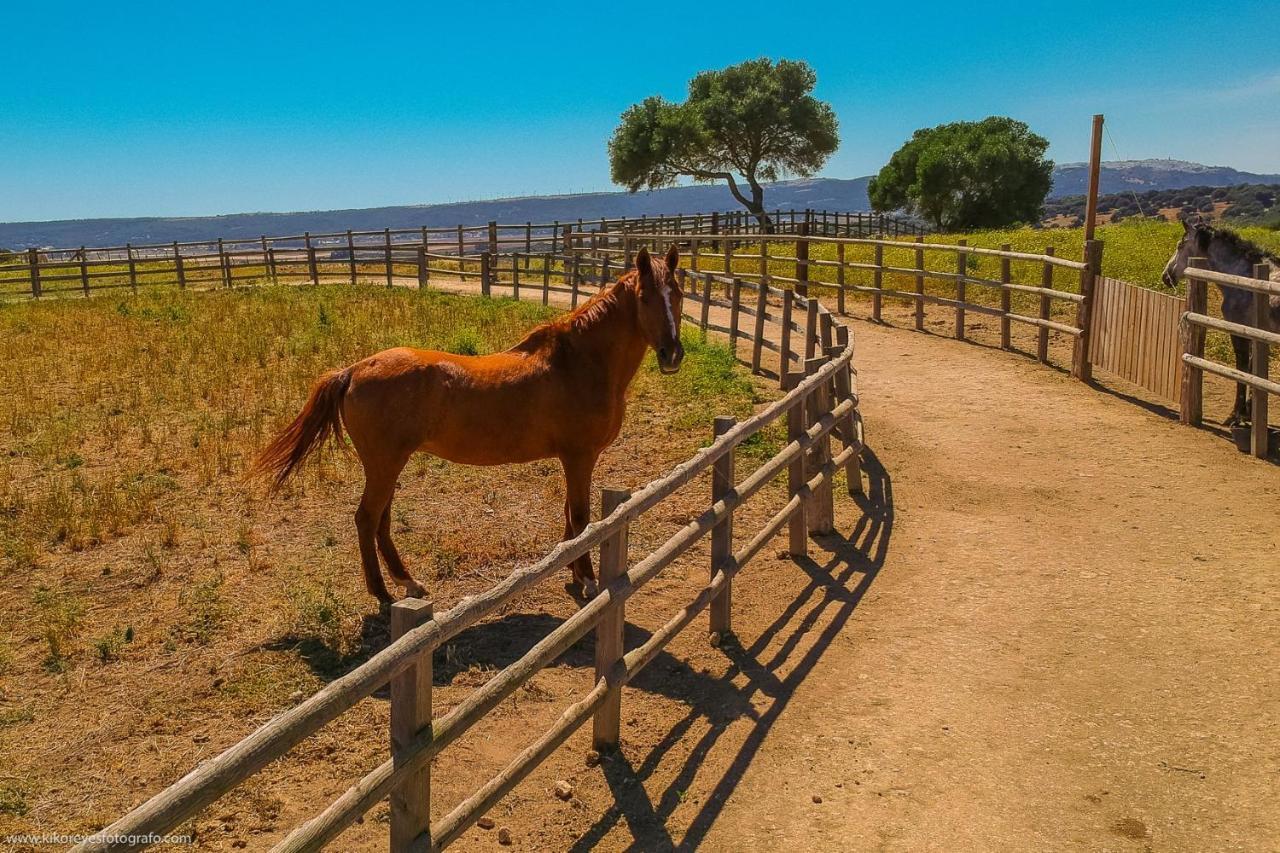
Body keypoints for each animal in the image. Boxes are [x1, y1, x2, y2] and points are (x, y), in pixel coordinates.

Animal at [253, 242, 686, 601]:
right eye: (645, 297)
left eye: (678, 294)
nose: (672, 354)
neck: (578, 362)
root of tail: (354, 369)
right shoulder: (579, 456)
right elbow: (579, 517)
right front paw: (589, 579)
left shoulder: (575, 459)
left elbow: (569, 514)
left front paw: (575, 573)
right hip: (384, 464)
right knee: (367, 519)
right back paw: (383, 593)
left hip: (387, 464)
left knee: (381, 520)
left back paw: (408, 582)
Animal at [1162, 216, 1280, 422]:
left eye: (1180, 245)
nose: (1166, 276)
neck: (1245, 278)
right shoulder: (1256, 335)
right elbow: (1253, 368)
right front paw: (1248, 413)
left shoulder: (1239, 331)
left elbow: (1242, 368)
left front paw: (1236, 414)